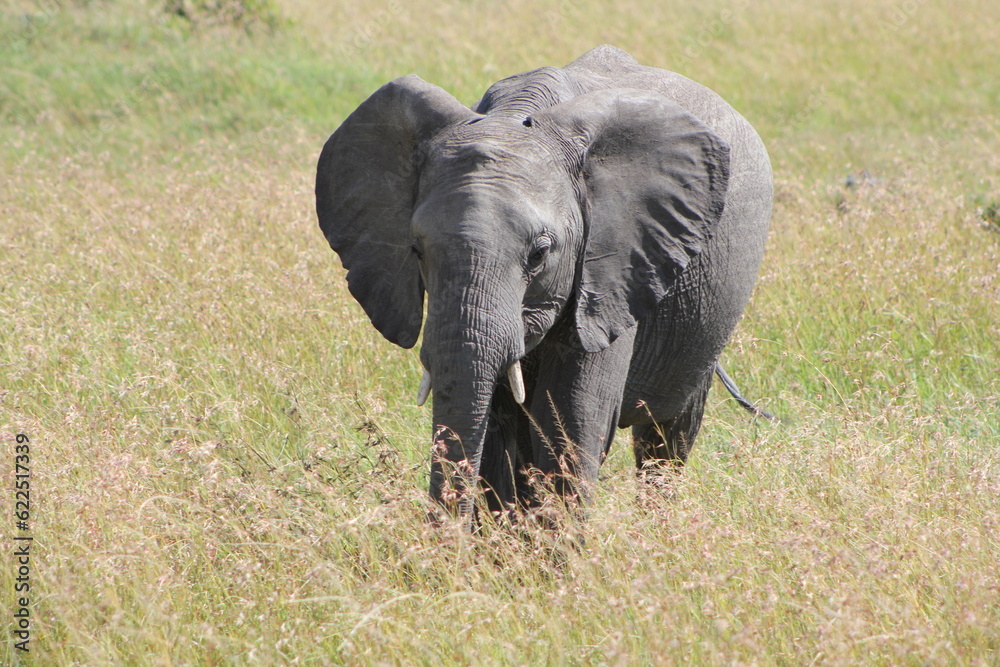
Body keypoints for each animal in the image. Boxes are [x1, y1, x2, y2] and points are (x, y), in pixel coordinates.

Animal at [315, 45, 772, 518]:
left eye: (539, 254)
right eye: (416, 251)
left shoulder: (612, 268)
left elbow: (570, 422)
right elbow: (499, 430)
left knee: (667, 437)